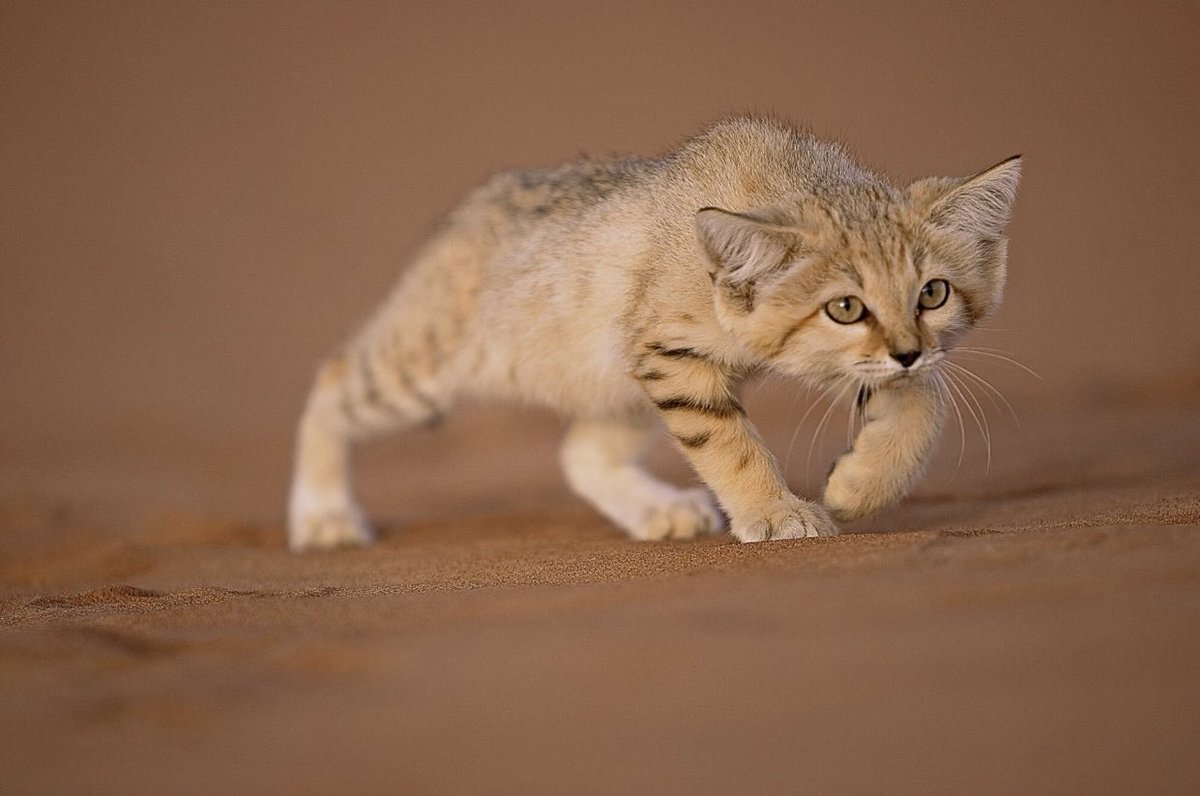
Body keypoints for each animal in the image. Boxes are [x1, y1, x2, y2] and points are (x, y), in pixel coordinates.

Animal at [285, 118, 1017, 552]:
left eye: (932, 294)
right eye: (845, 308)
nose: (907, 350)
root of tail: (461, 214)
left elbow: (926, 404)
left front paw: (859, 484)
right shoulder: (674, 356)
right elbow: (731, 445)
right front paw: (777, 512)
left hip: (616, 382)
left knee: (579, 452)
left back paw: (656, 510)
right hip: (429, 368)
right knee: (330, 381)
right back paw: (323, 514)